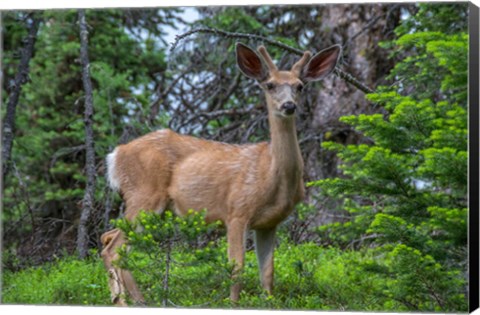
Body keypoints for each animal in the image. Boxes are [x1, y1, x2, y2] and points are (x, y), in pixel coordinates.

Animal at [100, 42, 342, 306]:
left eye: (300, 86)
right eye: (270, 85)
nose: (289, 106)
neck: (271, 174)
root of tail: (115, 155)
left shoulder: (269, 223)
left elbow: (268, 273)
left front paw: (268, 302)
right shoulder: (237, 210)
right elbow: (236, 267)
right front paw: (233, 303)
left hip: (154, 208)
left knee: (111, 239)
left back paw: (138, 300)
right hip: (144, 196)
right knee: (112, 248)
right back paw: (125, 302)